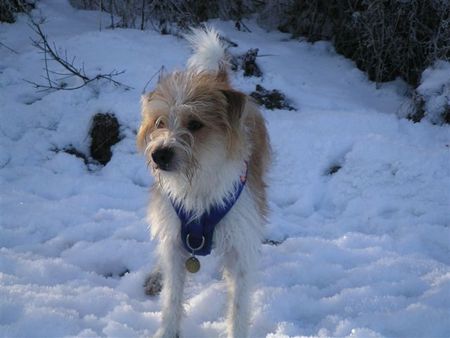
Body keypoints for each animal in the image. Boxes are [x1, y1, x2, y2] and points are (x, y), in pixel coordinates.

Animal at [137, 27, 270, 338]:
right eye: (160, 122)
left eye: (195, 124)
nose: (159, 154)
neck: (198, 184)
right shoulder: (174, 240)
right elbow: (172, 297)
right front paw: (168, 331)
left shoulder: (241, 244)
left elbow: (238, 305)